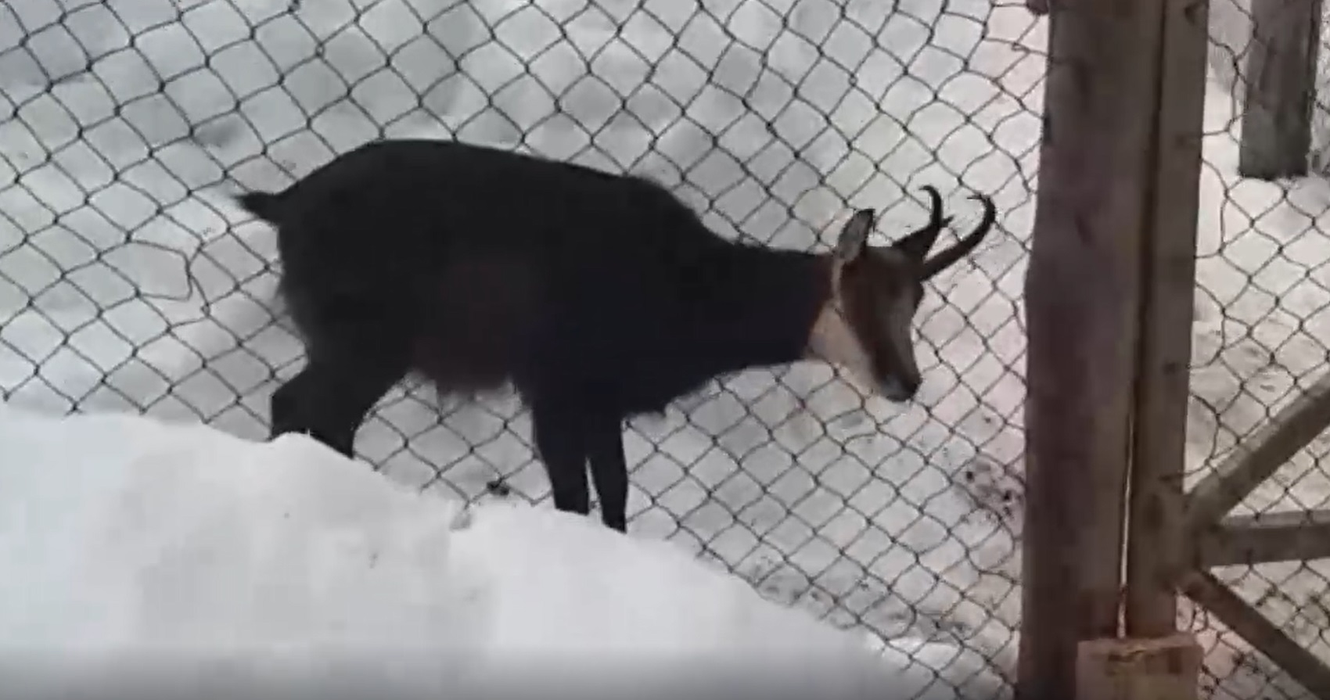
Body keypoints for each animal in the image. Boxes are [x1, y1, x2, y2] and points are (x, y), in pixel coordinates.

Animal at [234, 138, 996, 533]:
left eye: (914, 300)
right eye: (853, 297)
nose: (904, 382)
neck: (689, 284)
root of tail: (284, 206)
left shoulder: (600, 408)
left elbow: (616, 496)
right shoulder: (557, 392)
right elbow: (576, 497)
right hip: (367, 343)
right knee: (299, 406)